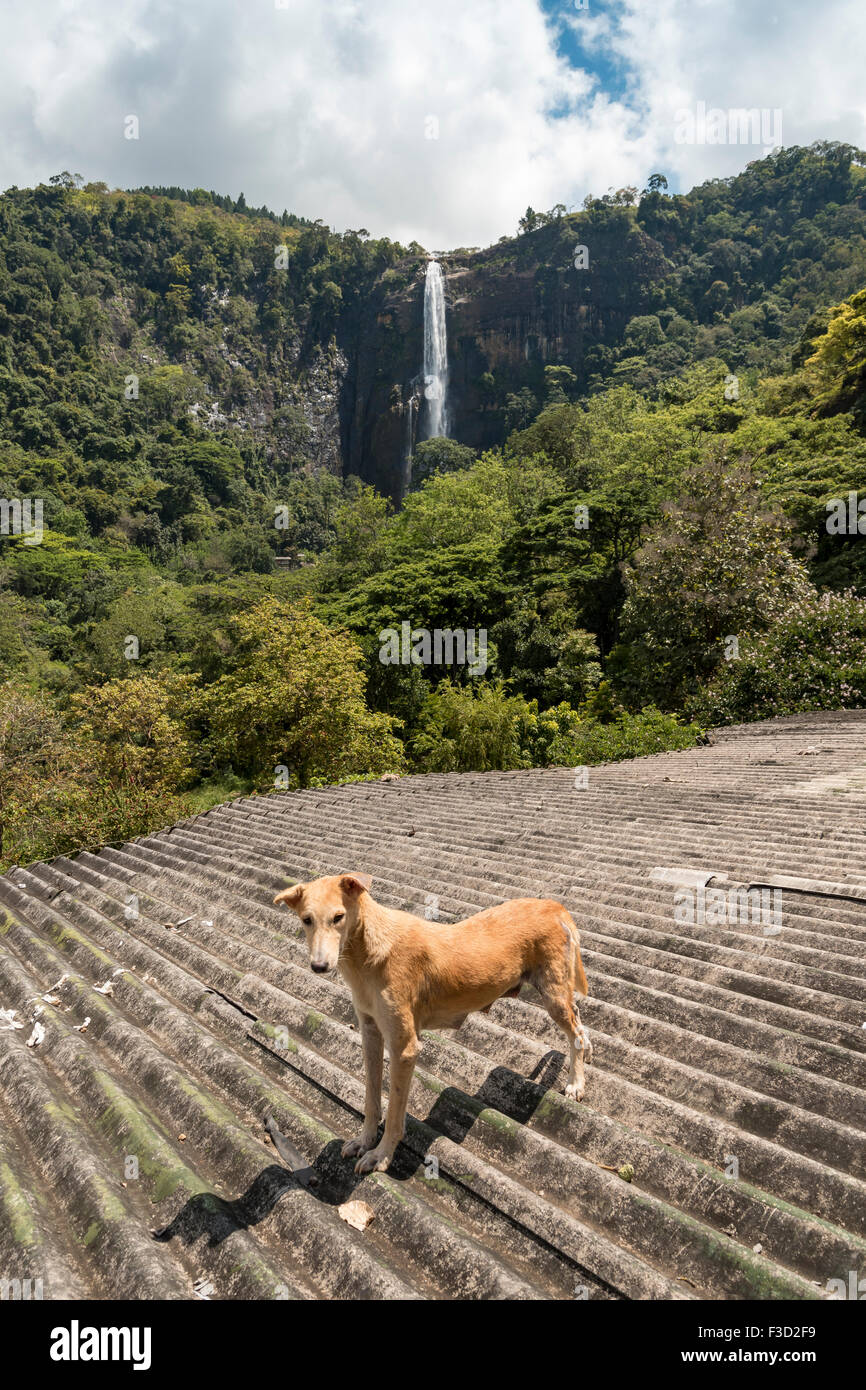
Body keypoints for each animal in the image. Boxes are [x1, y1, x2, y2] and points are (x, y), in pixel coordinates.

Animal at [273, 872, 592, 1178]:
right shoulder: (371, 1033)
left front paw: (381, 1156)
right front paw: (364, 1141)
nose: (319, 967)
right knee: (580, 1022)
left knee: (575, 1031)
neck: (368, 951)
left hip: (553, 994)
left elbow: (395, 1114)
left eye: (338, 917)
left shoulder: (404, 1048)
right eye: (306, 920)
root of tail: (554, 905)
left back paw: (576, 1083)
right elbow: (371, 1100)